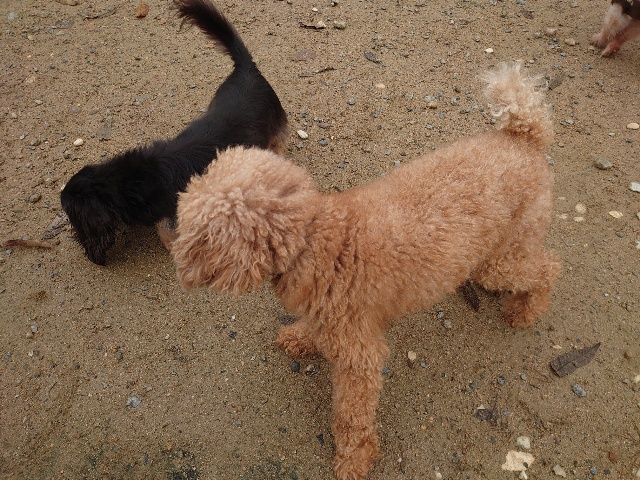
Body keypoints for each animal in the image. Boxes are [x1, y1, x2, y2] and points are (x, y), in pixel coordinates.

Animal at [60, 0, 288, 265]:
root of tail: (247, 67)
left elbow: (167, 233)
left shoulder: (172, 213)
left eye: (69, 212)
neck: (127, 181)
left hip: (274, 133)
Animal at [170, 62, 561, 479]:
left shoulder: (359, 354)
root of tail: (525, 136)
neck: (311, 240)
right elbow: (312, 332)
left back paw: (525, 309)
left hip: (504, 257)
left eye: (195, 230)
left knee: (549, 267)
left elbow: (351, 416)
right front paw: (300, 339)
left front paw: (353, 458)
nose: (180, 264)